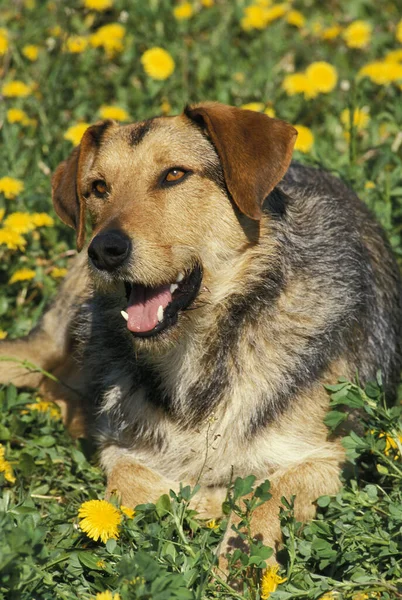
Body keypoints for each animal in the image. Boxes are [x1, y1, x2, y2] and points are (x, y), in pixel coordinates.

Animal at [0, 103, 402, 556]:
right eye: (98, 187)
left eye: (174, 175)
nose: (104, 250)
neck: (201, 351)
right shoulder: (125, 447)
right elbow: (125, 485)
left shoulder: (324, 455)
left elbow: (263, 498)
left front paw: (239, 555)